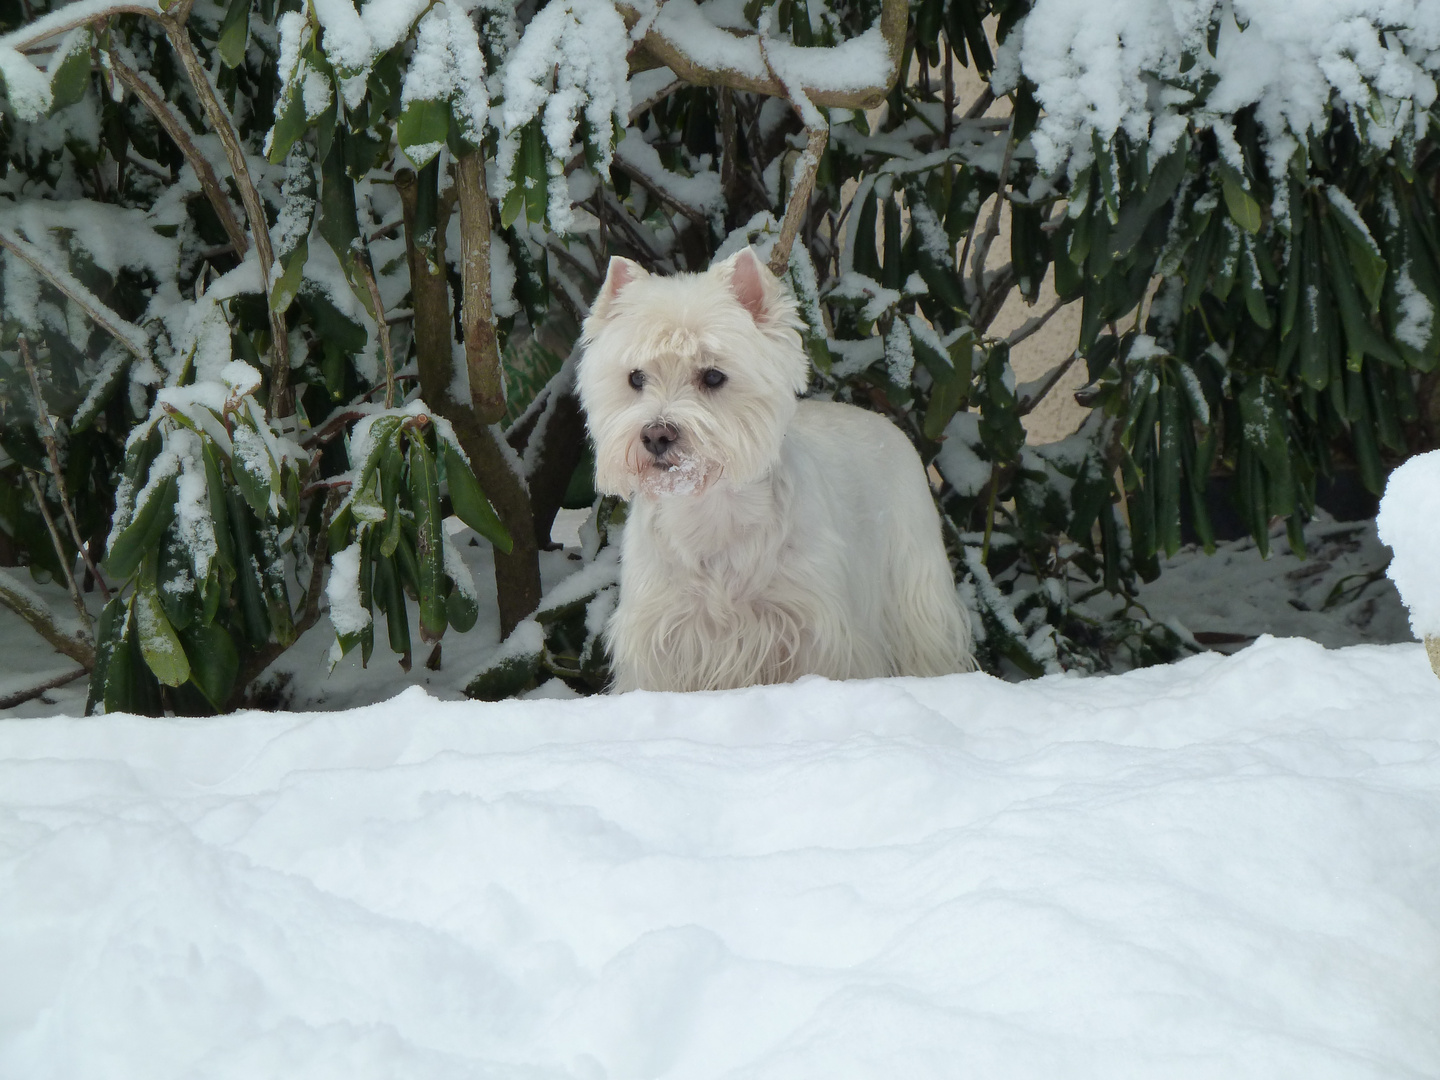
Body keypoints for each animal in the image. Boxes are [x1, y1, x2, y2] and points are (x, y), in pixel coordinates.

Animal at [578, 247, 973, 694]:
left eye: (713, 375)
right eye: (635, 377)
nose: (656, 435)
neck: (712, 513)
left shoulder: (814, 629)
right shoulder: (663, 632)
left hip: (915, 583)